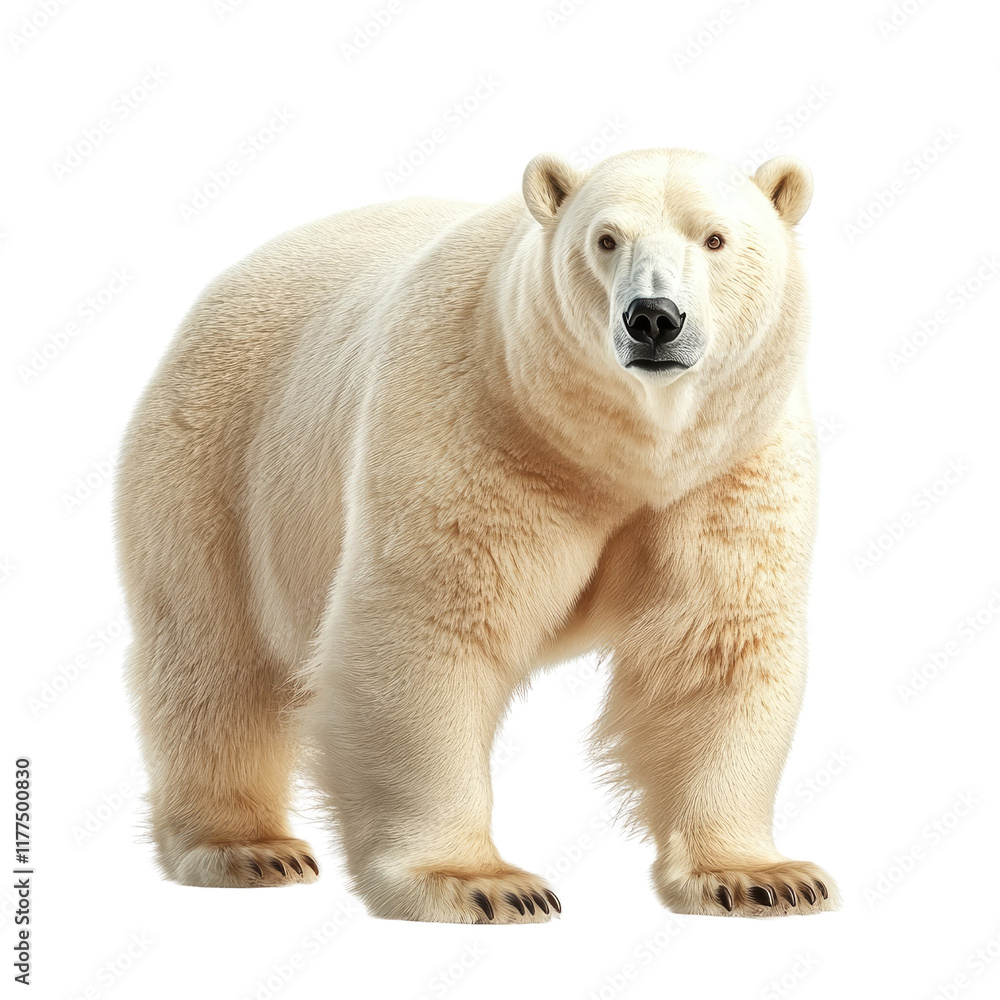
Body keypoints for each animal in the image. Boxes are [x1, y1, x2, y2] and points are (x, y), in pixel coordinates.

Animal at [115, 146, 838, 922]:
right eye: (605, 240)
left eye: (715, 239)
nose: (653, 318)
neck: (619, 452)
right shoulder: (475, 418)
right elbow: (431, 628)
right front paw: (480, 883)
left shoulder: (730, 468)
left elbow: (717, 642)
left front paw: (763, 877)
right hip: (218, 463)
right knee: (213, 658)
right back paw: (247, 847)